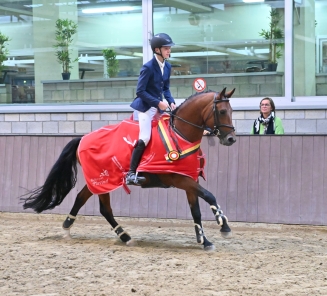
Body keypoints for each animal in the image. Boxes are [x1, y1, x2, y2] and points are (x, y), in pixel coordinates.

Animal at [21, 87, 236, 250]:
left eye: (232, 111)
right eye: (222, 112)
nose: (231, 139)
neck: (180, 134)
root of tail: (82, 138)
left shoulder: (190, 179)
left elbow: (196, 211)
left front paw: (204, 240)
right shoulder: (180, 179)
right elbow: (210, 196)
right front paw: (223, 225)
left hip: (98, 180)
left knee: (81, 198)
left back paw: (68, 227)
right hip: (103, 180)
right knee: (104, 208)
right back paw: (124, 237)